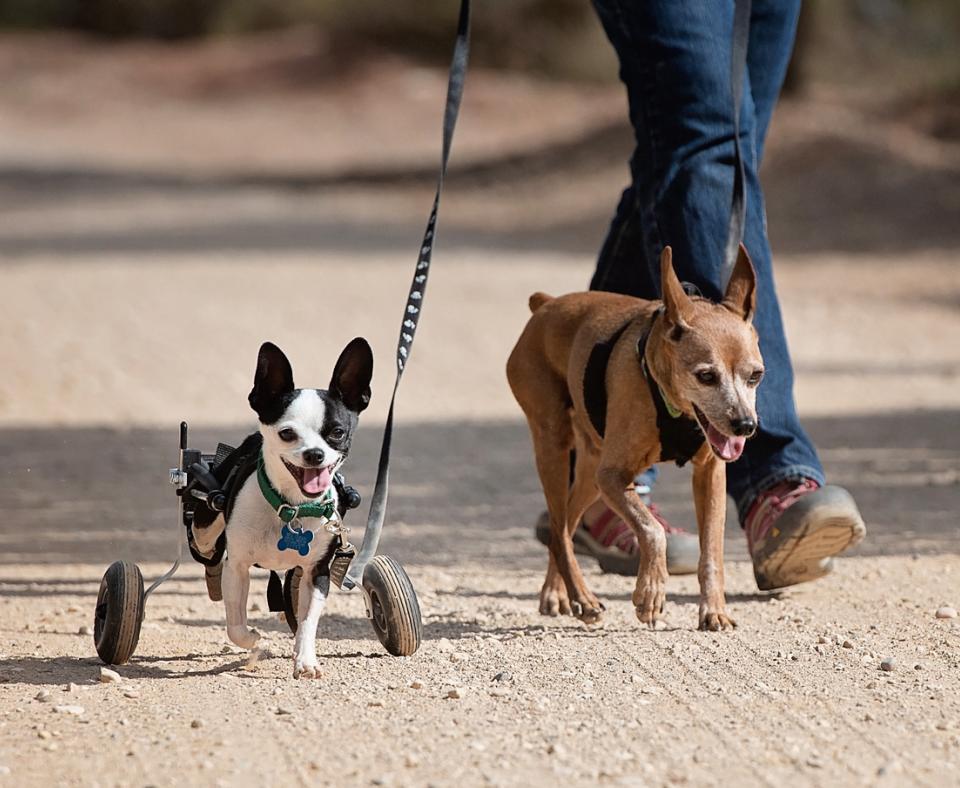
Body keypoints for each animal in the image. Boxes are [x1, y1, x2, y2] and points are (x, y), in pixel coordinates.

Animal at [193, 338, 374, 676]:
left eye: (337, 433)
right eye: (287, 433)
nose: (315, 453)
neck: (292, 508)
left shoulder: (318, 572)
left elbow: (307, 621)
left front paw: (305, 660)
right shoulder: (237, 566)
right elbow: (235, 624)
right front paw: (253, 638)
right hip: (205, 525)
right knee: (208, 550)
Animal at [506, 245, 760, 628]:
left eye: (756, 376)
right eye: (706, 376)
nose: (745, 425)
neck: (674, 408)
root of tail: (545, 306)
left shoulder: (710, 475)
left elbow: (712, 552)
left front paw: (714, 610)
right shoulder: (614, 477)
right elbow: (653, 530)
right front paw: (650, 593)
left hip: (591, 473)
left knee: (563, 525)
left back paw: (557, 592)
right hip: (555, 447)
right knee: (559, 530)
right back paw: (584, 599)